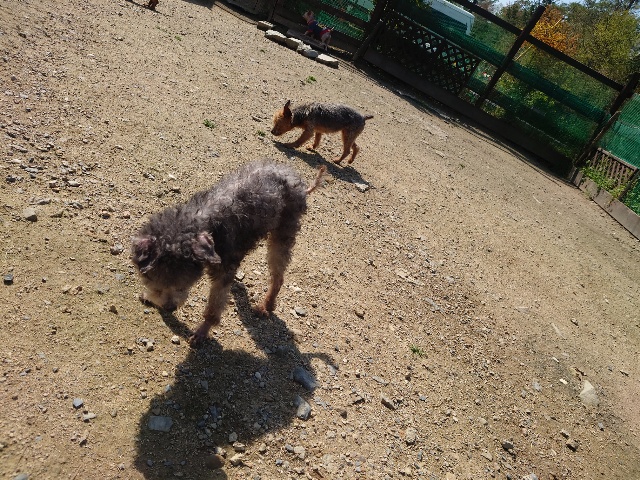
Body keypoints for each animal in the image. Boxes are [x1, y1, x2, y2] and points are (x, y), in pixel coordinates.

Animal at [131, 160, 325, 347]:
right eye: (156, 284)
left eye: (183, 286)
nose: (169, 308)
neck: (201, 222)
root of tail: (301, 186)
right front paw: (148, 297)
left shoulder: (223, 273)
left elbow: (214, 307)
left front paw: (201, 333)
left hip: (282, 234)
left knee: (278, 277)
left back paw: (266, 306)